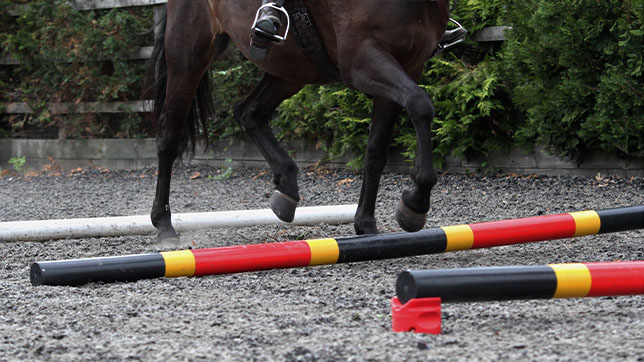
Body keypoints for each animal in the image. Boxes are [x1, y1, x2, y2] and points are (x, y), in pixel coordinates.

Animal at [148, 0, 450, 245]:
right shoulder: (362, 61)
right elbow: (420, 104)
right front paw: (416, 202)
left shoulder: (410, 66)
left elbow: (377, 149)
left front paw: (366, 223)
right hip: (188, 59)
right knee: (169, 138)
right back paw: (164, 226)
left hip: (290, 67)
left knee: (249, 113)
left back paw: (287, 188)